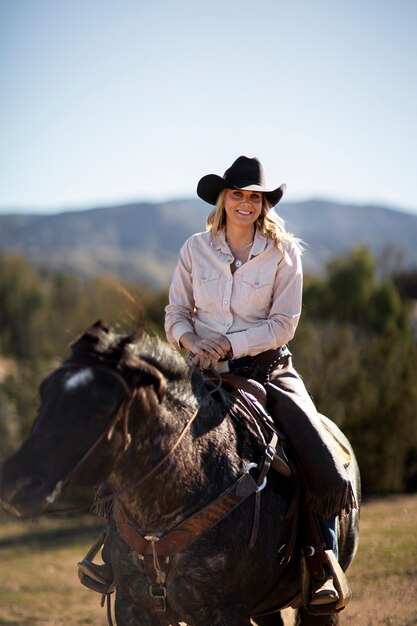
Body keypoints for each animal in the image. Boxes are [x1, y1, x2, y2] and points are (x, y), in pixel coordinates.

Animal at [0, 320, 360, 620]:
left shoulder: (227, 611)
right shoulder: (133, 607)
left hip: (315, 605)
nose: (15, 485)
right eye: (44, 393)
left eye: (101, 408)